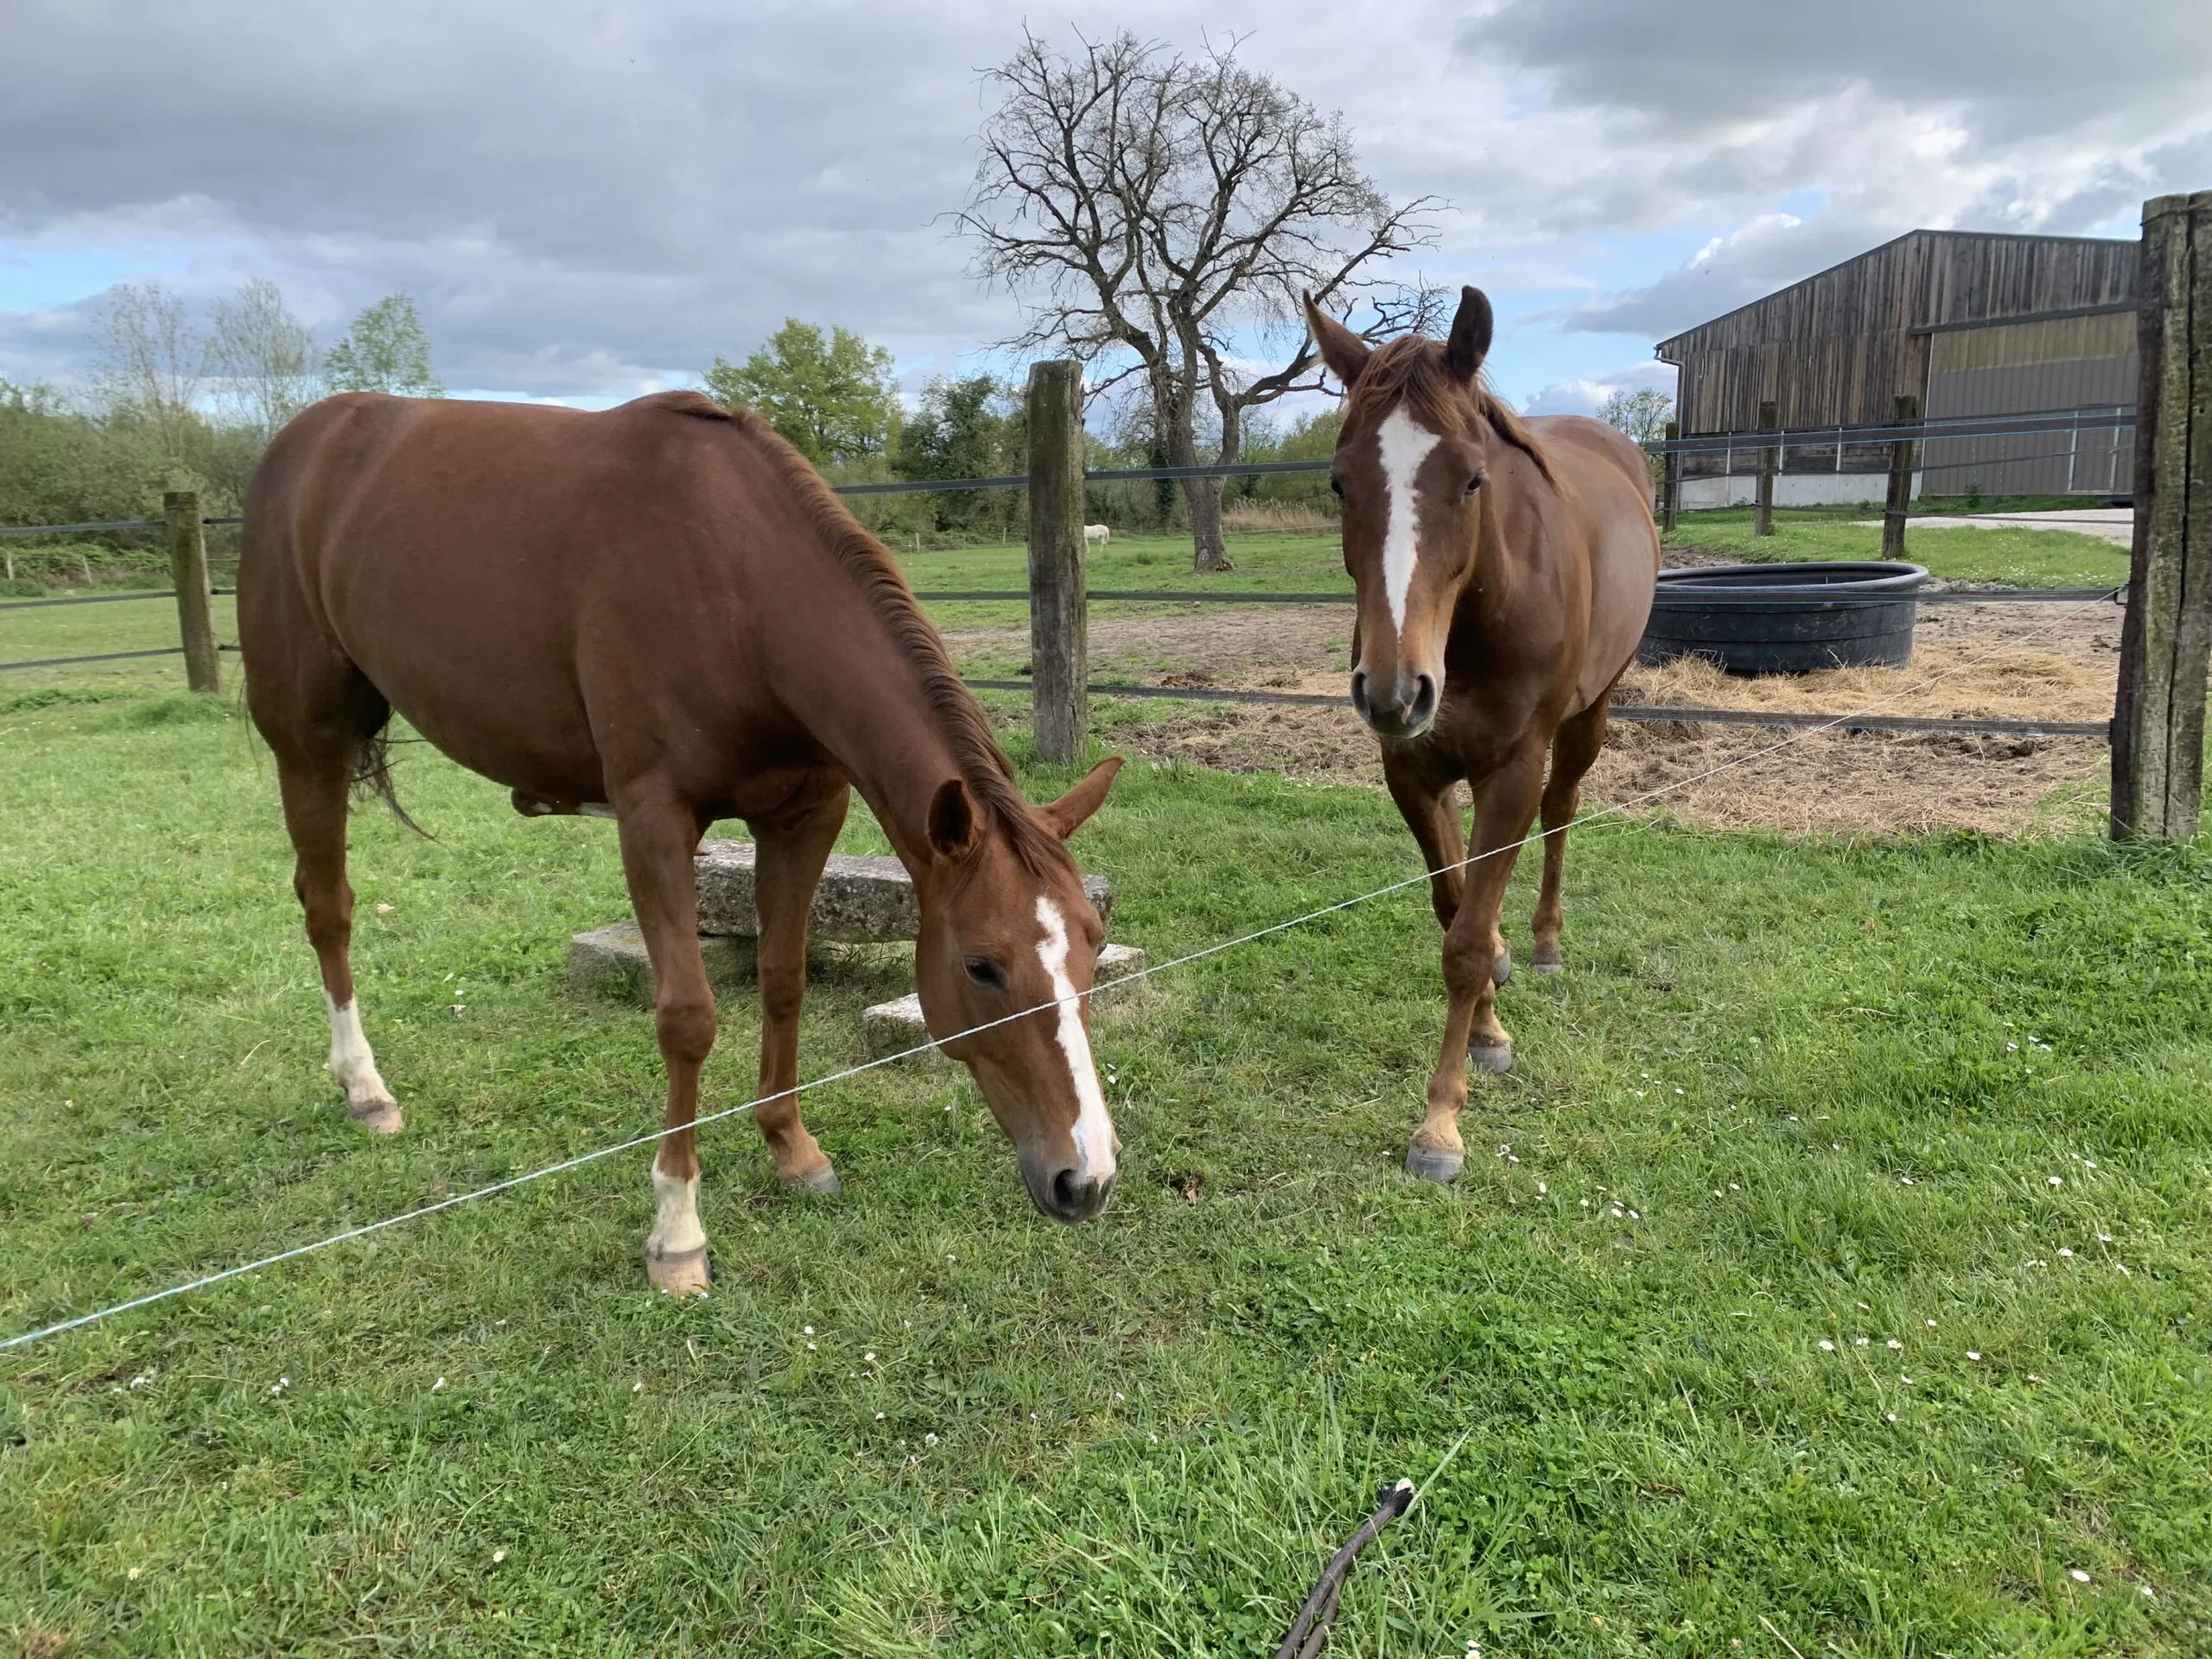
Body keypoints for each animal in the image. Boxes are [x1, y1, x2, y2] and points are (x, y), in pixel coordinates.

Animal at [242, 389, 1123, 1300]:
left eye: (1093, 946)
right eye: (981, 967)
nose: (1086, 1179)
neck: (737, 591)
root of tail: (310, 436)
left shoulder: (807, 814)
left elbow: (783, 979)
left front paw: (792, 1150)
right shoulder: (654, 820)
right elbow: (688, 1019)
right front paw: (676, 1233)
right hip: (306, 741)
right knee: (327, 907)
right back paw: (365, 1089)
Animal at [1300, 291, 1654, 1185]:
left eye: (1471, 478)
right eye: (1339, 481)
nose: (1393, 690)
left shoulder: (1512, 770)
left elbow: (1463, 941)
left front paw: (1439, 1125)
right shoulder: (1412, 769)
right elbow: (1452, 907)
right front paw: (1489, 1027)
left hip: (1588, 719)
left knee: (1560, 816)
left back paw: (1543, 942)